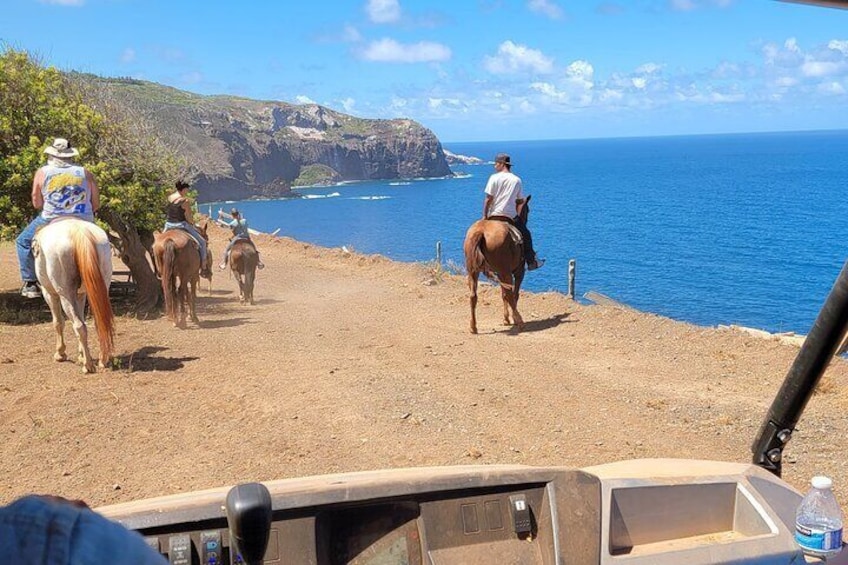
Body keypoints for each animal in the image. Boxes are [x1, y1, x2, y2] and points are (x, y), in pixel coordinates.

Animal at [33, 216, 115, 370]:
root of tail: (80, 232)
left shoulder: (50, 294)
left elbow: (58, 322)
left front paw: (60, 353)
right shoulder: (81, 295)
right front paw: (81, 354)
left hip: (65, 294)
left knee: (78, 325)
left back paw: (88, 366)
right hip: (101, 287)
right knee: (98, 322)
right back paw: (102, 360)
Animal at [464, 196, 528, 332]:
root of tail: (481, 232)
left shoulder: (499, 273)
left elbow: (503, 294)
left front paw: (506, 318)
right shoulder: (518, 272)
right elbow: (514, 294)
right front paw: (510, 318)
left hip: (473, 271)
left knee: (473, 296)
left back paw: (473, 326)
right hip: (505, 272)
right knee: (510, 295)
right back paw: (519, 321)